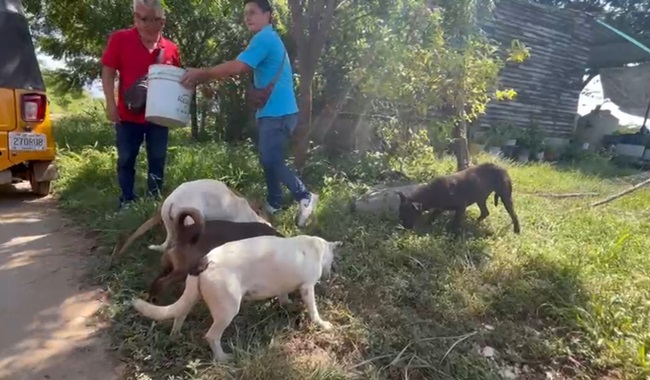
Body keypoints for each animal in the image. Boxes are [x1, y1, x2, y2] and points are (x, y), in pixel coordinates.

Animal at [133, 235, 344, 362]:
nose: (330, 272)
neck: (313, 247)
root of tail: (205, 260)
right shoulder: (308, 288)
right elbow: (314, 311)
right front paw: (322, 324)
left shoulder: (282, 286)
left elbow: (283, 297)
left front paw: (287, 305)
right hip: (228, 310)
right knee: (211, 336)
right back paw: (222, 358)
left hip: (191, 296)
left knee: (179, 315)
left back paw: (175, 336)